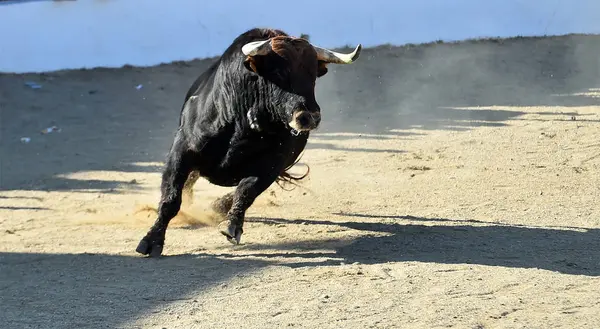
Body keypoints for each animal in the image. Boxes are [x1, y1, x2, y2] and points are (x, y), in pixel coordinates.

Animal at [136, 27, 360, 256]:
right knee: (189, 182)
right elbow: (171, 198)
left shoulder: (272, 164)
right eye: (279, 72)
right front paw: (151, 241)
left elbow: (245, 191)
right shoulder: (182, 150)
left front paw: (231, 225)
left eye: (313, 75)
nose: (310, 117)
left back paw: (216, 207)